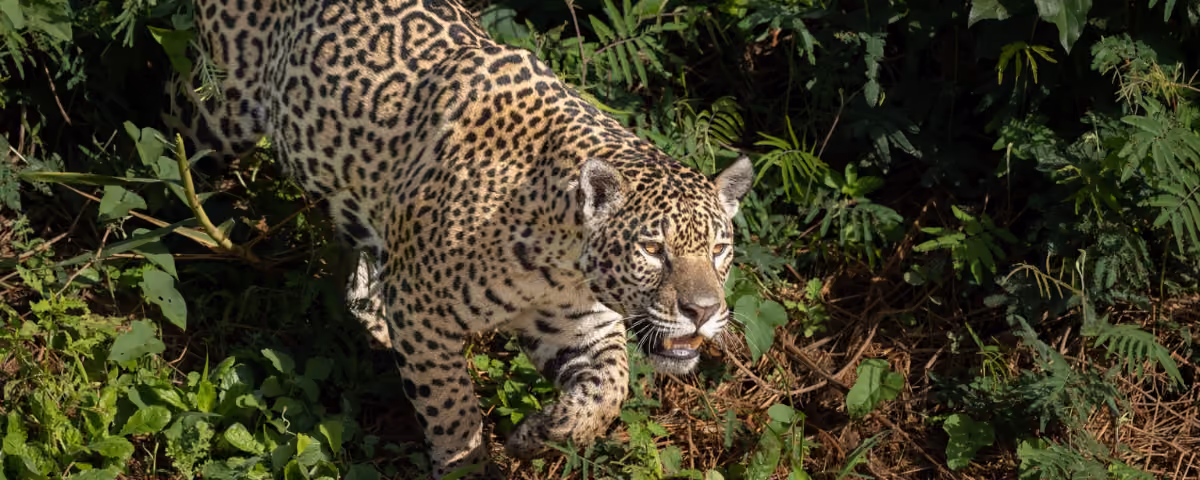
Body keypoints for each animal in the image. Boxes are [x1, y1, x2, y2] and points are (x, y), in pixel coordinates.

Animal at [161, 0, 754, 477]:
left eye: (718, 250)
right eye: (653, 249)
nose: (703, 312)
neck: (562, 258)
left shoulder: (578, 323)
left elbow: (610, 390)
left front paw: (540, 435)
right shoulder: (424, 312)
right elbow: (451, 409)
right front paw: (468, 465)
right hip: (219, 108)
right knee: (172, 139)